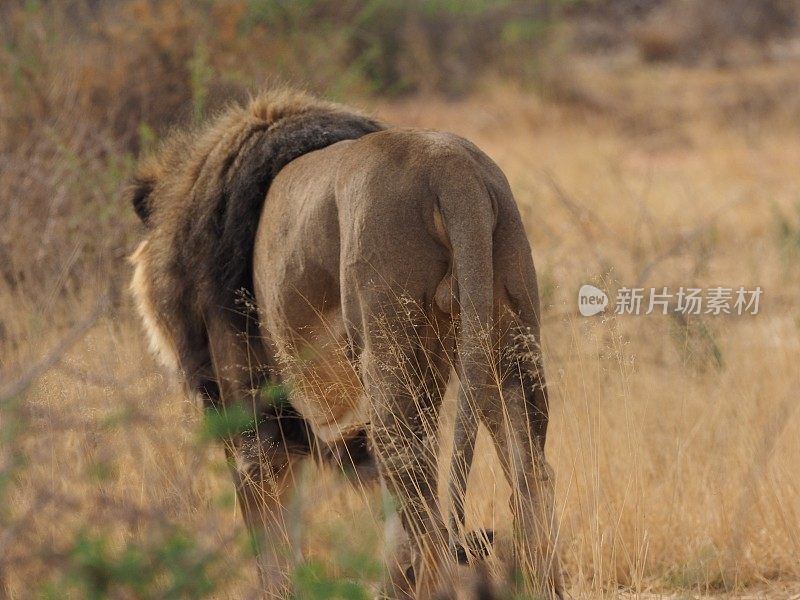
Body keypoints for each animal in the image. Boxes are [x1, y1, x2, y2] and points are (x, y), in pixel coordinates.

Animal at [126, 89, 564, 600]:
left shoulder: (247, 414)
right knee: (529, 477)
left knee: (427, 513)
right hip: (508, 337)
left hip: (386, 351)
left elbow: (271, 538)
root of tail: (453, 172)